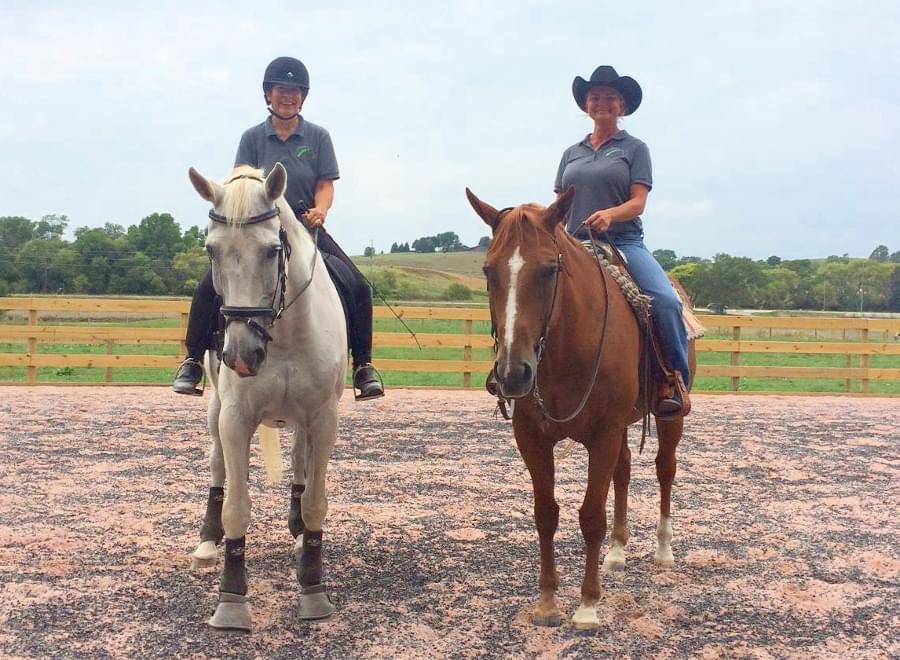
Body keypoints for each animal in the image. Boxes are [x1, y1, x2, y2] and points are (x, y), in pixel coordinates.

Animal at [187, 164, 347, 630]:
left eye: (274, 250)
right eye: (211, 251)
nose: (242, 355)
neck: (285, 333)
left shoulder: (323, 418)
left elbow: (315, 501)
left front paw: (313, 588)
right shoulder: (235, 418)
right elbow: (236, 507)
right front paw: (231, 600)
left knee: (299, 462)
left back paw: (297, 536)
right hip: (215, 411)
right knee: (217, 466)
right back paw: (207, 543)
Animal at [466, 187, 696, 631]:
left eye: (550, 269)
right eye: (488, 271)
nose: (513, 373)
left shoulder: (602, 435)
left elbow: (591, 515)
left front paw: (588, 605)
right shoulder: (533, 439)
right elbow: (545, 514)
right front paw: (547, 603)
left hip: (668, 415)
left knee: (665, 468)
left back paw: (663, 550)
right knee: (624, 470)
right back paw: (617, 552)